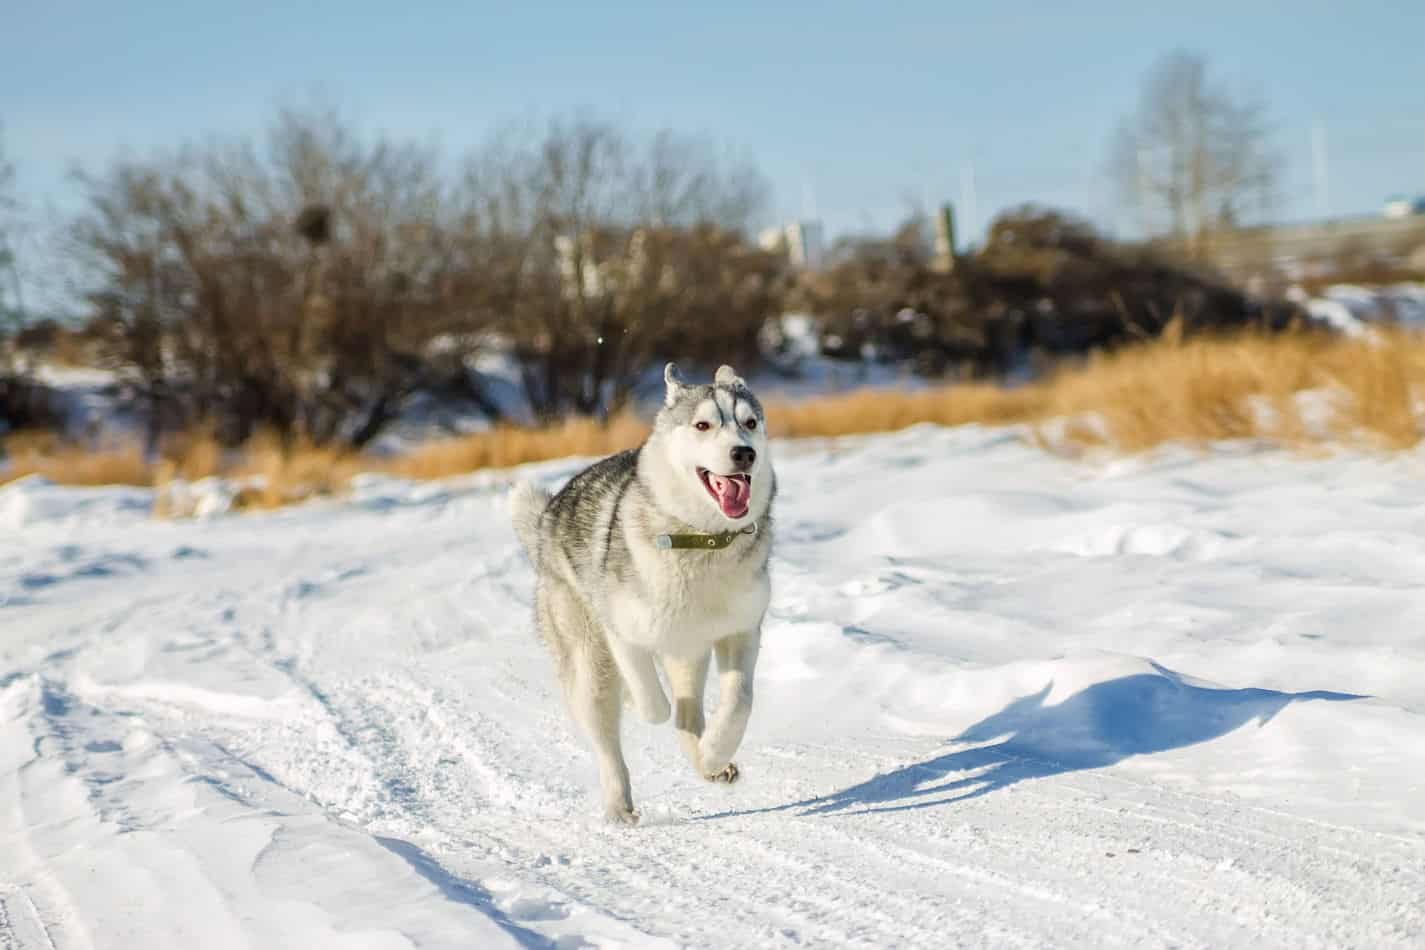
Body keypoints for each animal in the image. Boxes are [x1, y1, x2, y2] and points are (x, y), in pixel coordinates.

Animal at [513, 364, 775, 826]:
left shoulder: (741, 632)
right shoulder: (623, 632)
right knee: (610, 738)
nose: (744, 454)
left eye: (749, 423)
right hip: (590, 664)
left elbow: (739, 703)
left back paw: (709, 764)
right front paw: (640, 704)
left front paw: (716, 752)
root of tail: (547, 516)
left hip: (690, 653)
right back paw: (619, 806)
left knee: (688, 716)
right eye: (703, 425)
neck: (702, 541)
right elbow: (652, 703)